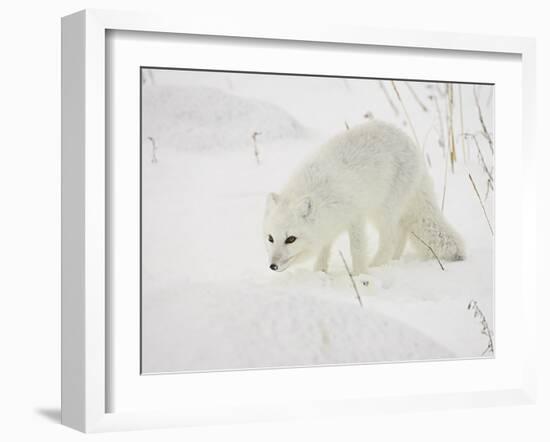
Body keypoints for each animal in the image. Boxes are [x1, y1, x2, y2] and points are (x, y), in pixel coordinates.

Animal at [264, 120, 466, 272]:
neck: (319, 192)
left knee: (390, 239)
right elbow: (324, 250)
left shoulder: (356, 218)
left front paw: (359, 275)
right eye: (270, 238)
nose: (272, 266)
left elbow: (357, 250)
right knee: (401, 231)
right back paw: (393, 261)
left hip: (383, 210)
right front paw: (319, 273)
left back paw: (377, 267)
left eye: (291, 239)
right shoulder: (328, 225)